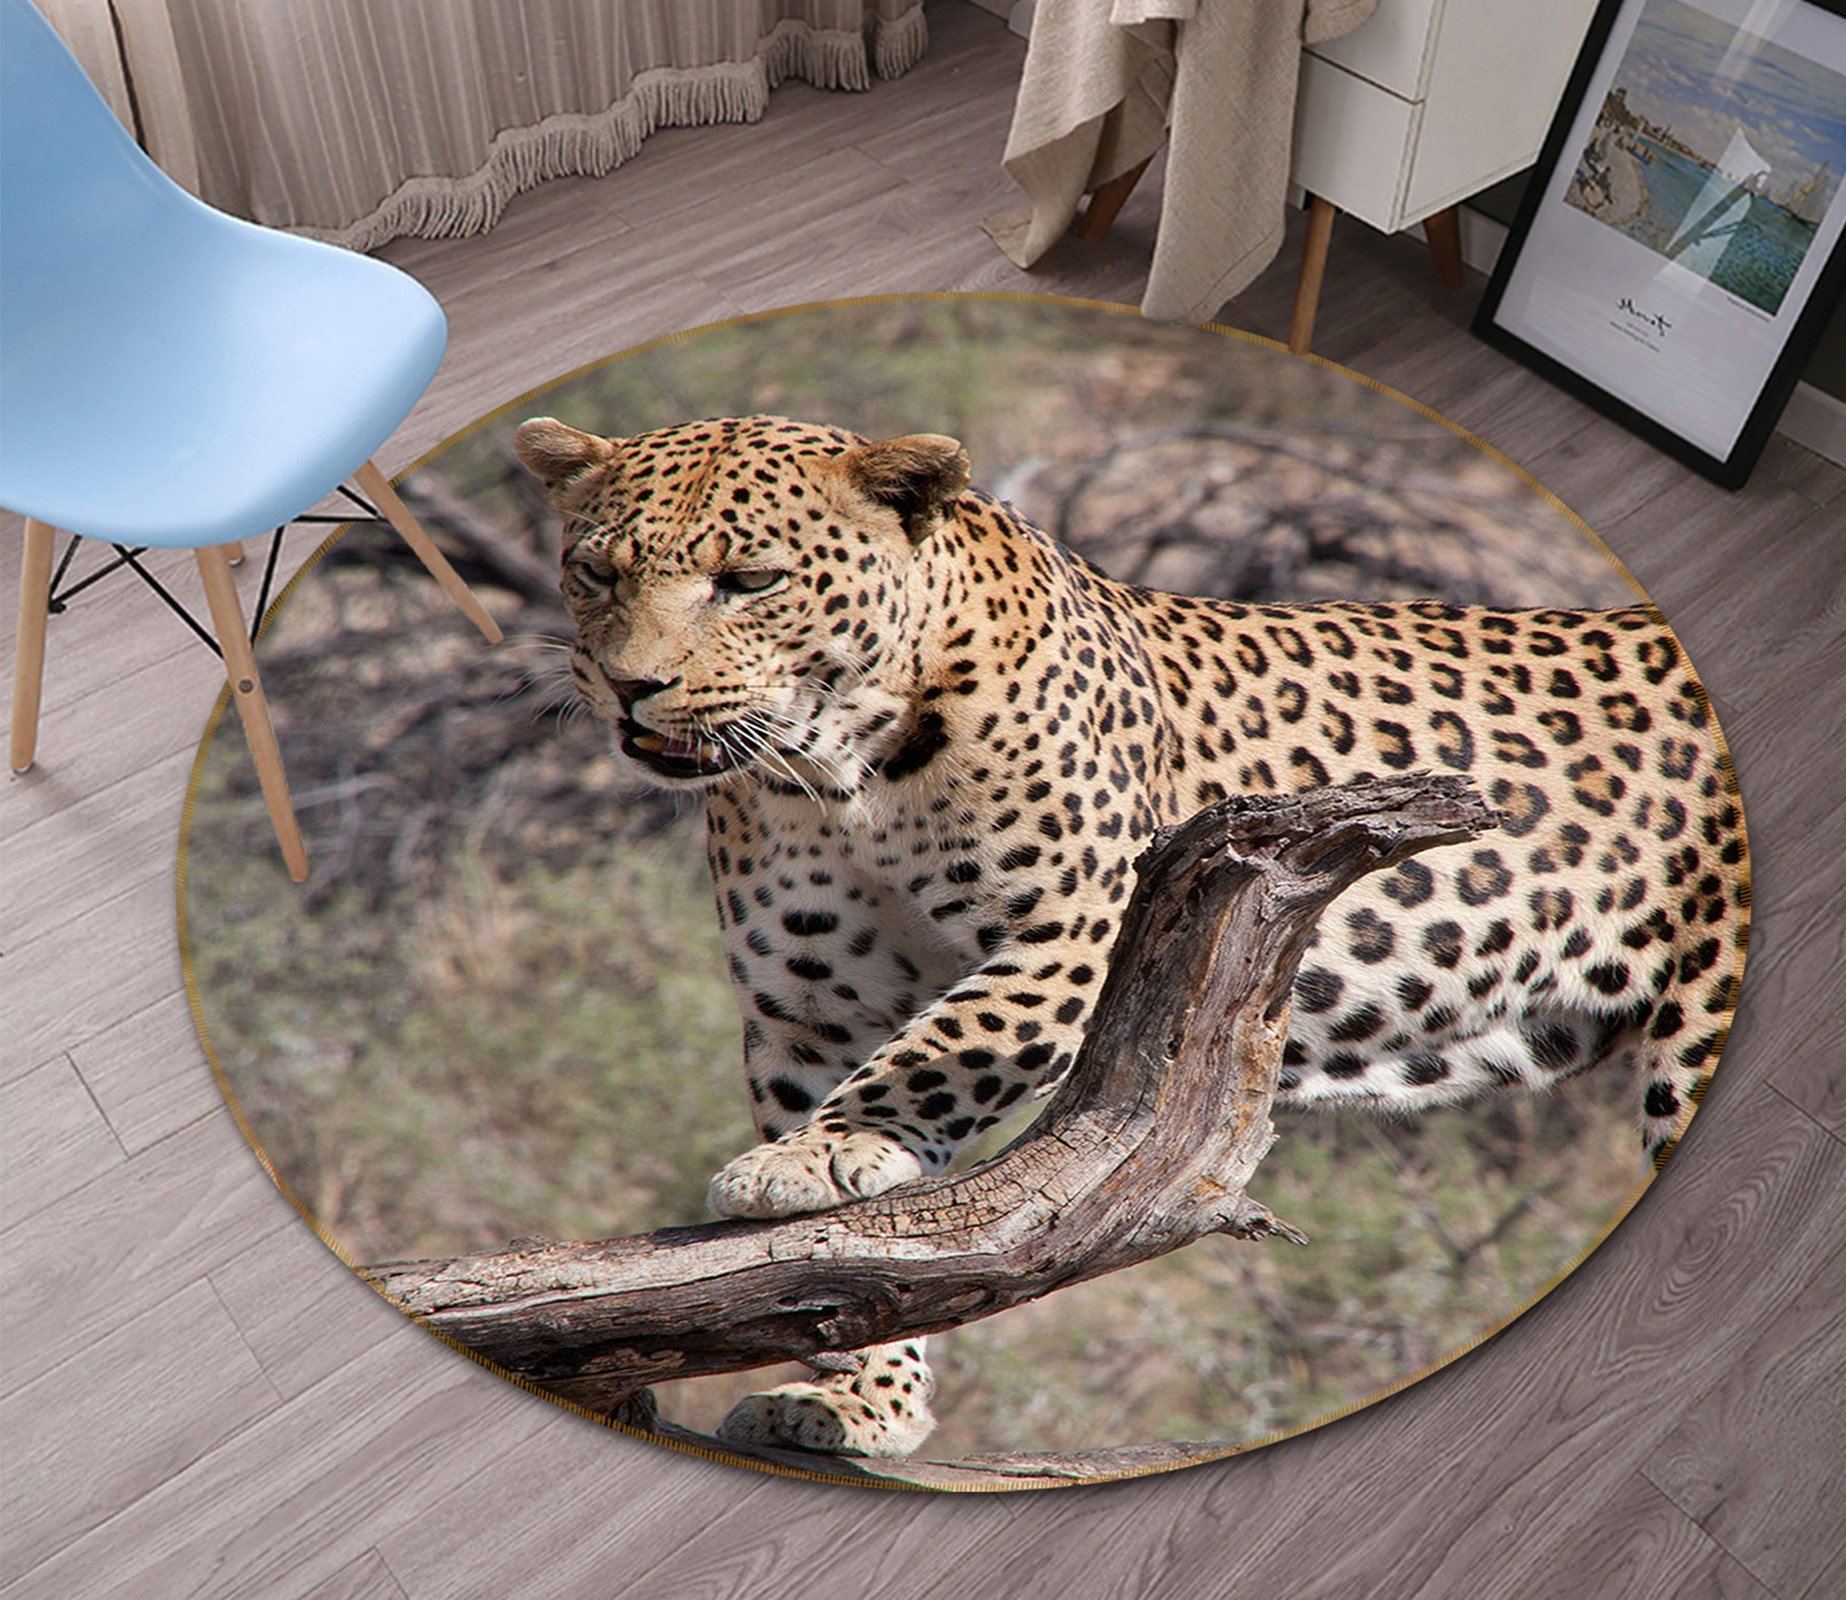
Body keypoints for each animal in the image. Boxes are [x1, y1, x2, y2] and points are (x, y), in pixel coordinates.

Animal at [514, 412, 1748, 1461]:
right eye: (598, 572)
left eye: (751, 581)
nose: (631, 687)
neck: (834, 774)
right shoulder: (810, 1010)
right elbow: (844, 1252)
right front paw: (856, 1396)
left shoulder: (1090, 921)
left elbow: (945, 1045)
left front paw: (818, 1153)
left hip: (1698, 1037)